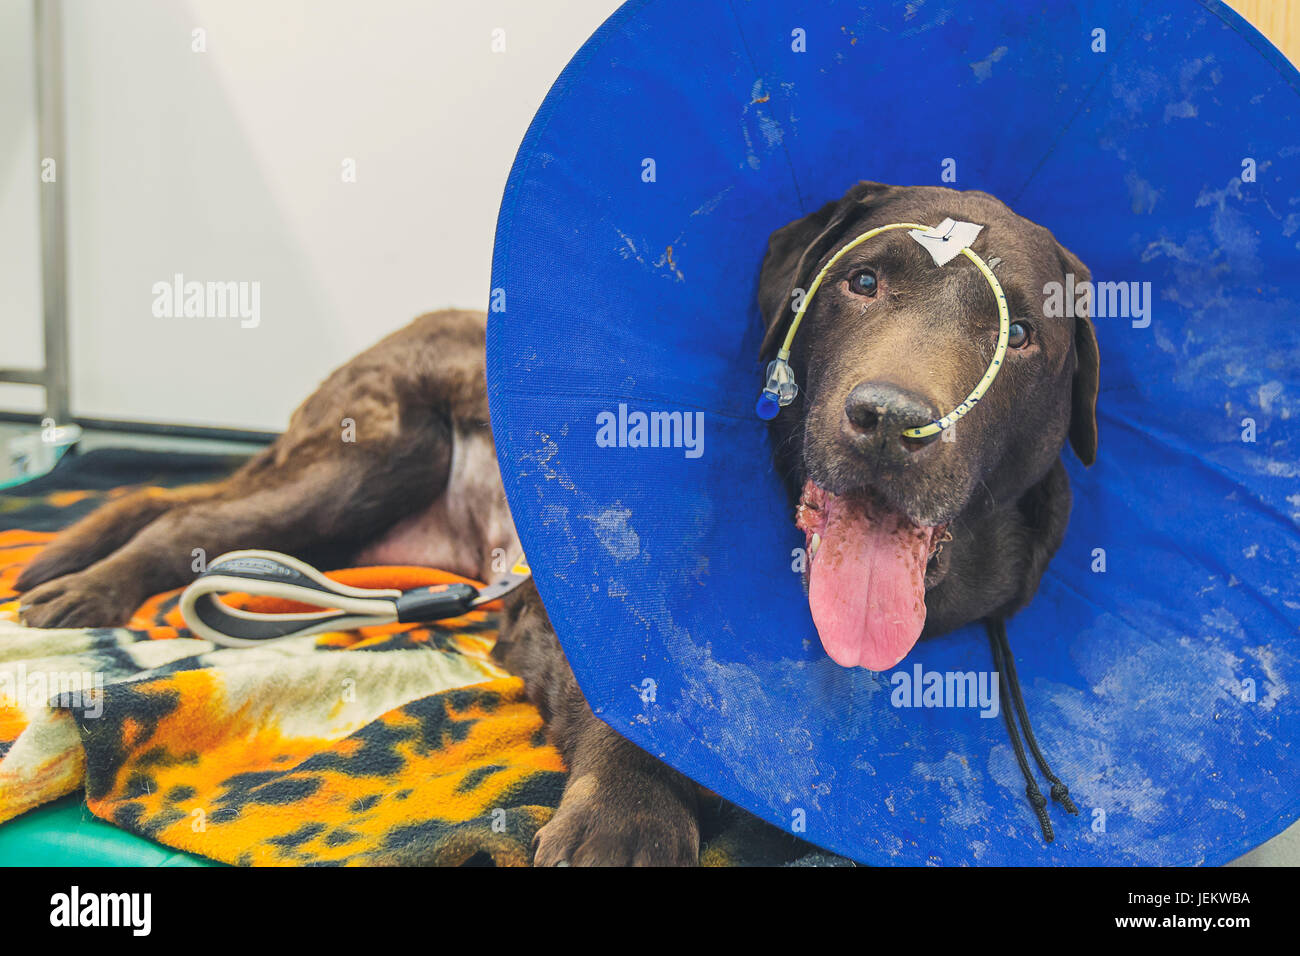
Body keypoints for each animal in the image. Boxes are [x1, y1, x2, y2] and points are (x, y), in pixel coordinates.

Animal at [17, 180, 1097, 868]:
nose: (889, 419)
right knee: (171, 511)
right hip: (371, 458)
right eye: (862, 283)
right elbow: (629, 704)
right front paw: (626, 817)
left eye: (1021, 334)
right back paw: (74, 580)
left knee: (178, 504)